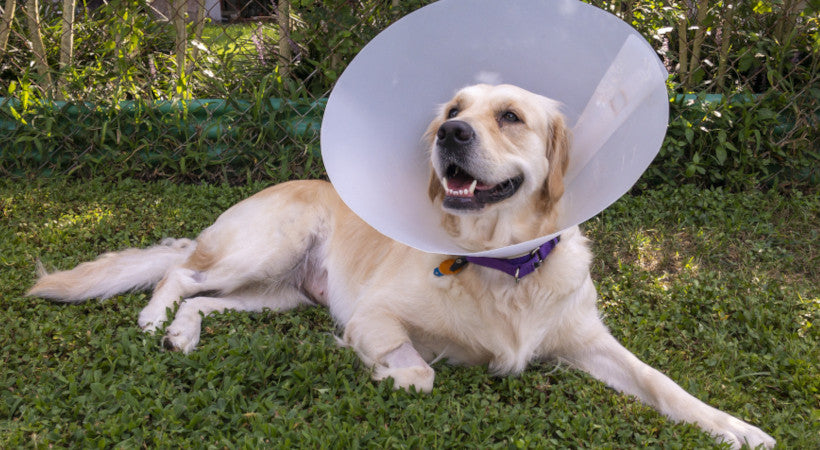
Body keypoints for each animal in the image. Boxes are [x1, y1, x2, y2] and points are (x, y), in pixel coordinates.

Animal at [30, 84, 776, 446]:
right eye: (454, 109)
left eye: (511, 116)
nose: (450, 132)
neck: (503, 267)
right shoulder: (372, 313)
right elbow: (418, 372)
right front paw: (381, 370)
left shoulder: (590, 341)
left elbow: (664, 385)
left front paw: (737, 428)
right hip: (266, 250)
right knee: (181, 273)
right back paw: (155, 319)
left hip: (281, 293)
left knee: (206, 300)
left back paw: (184, 333)